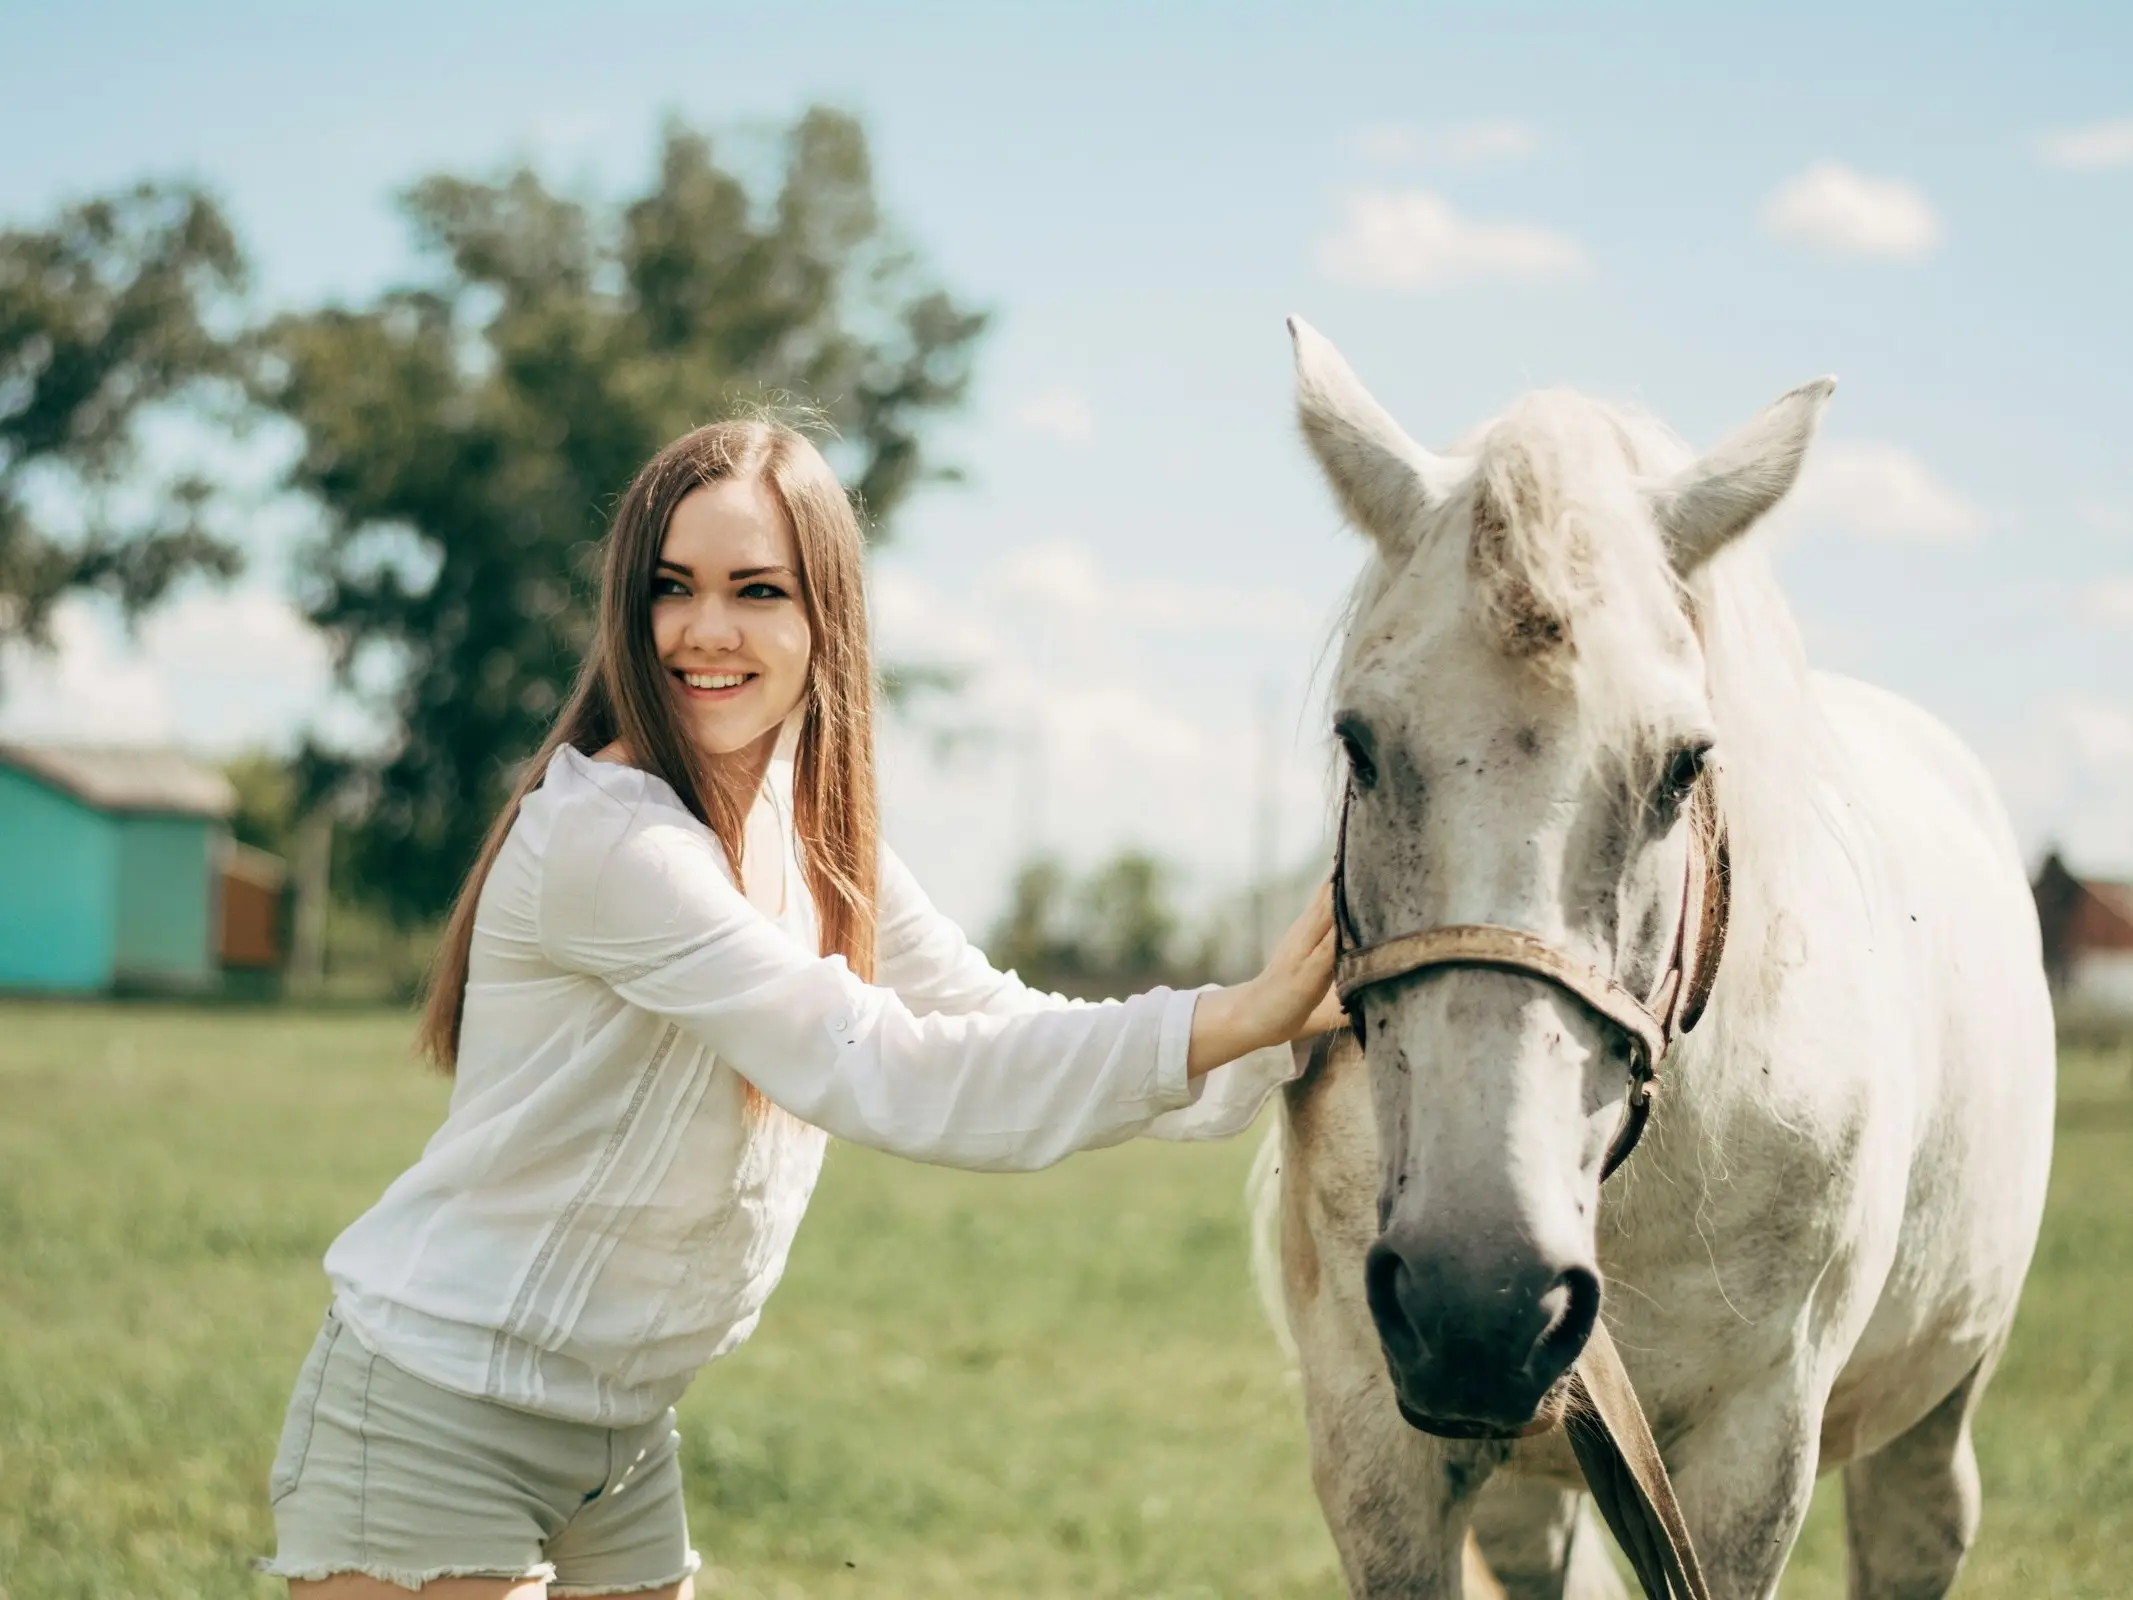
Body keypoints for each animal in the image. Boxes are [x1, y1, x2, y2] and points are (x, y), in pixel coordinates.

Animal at [1254, 320, 2056, 1595]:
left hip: (1936, 1412)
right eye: (1359, 743)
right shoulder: (1375, 1449)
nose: (1482, 1298)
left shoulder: (1751, 1458)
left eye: (1684, 764)